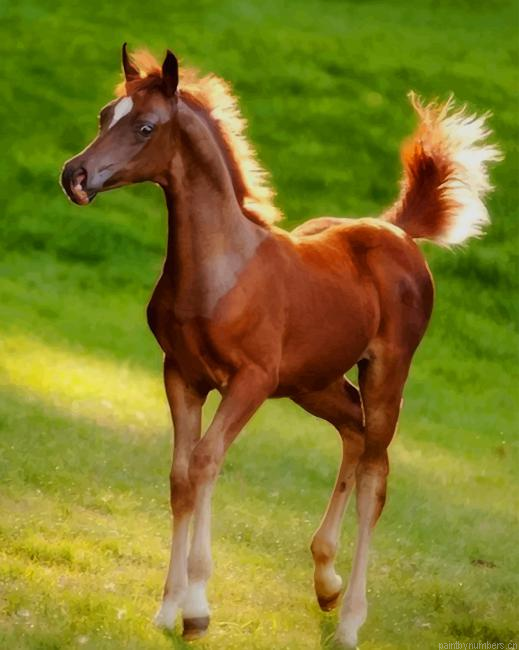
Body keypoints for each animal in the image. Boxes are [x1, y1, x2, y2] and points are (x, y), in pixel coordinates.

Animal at [60, 45, 500, 647]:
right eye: (106, 115)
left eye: (145, 127)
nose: (74, 174)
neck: (219, 269)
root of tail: (396, 231)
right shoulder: (181, 375)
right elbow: (180, 476)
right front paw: (167, 609)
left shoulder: (249, 382)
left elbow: (205, 463)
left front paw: (196, 608)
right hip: (314, 384)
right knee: (353, 433)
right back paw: (325, 581)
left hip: (385, 374)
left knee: (376, 476)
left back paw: (350, 620)